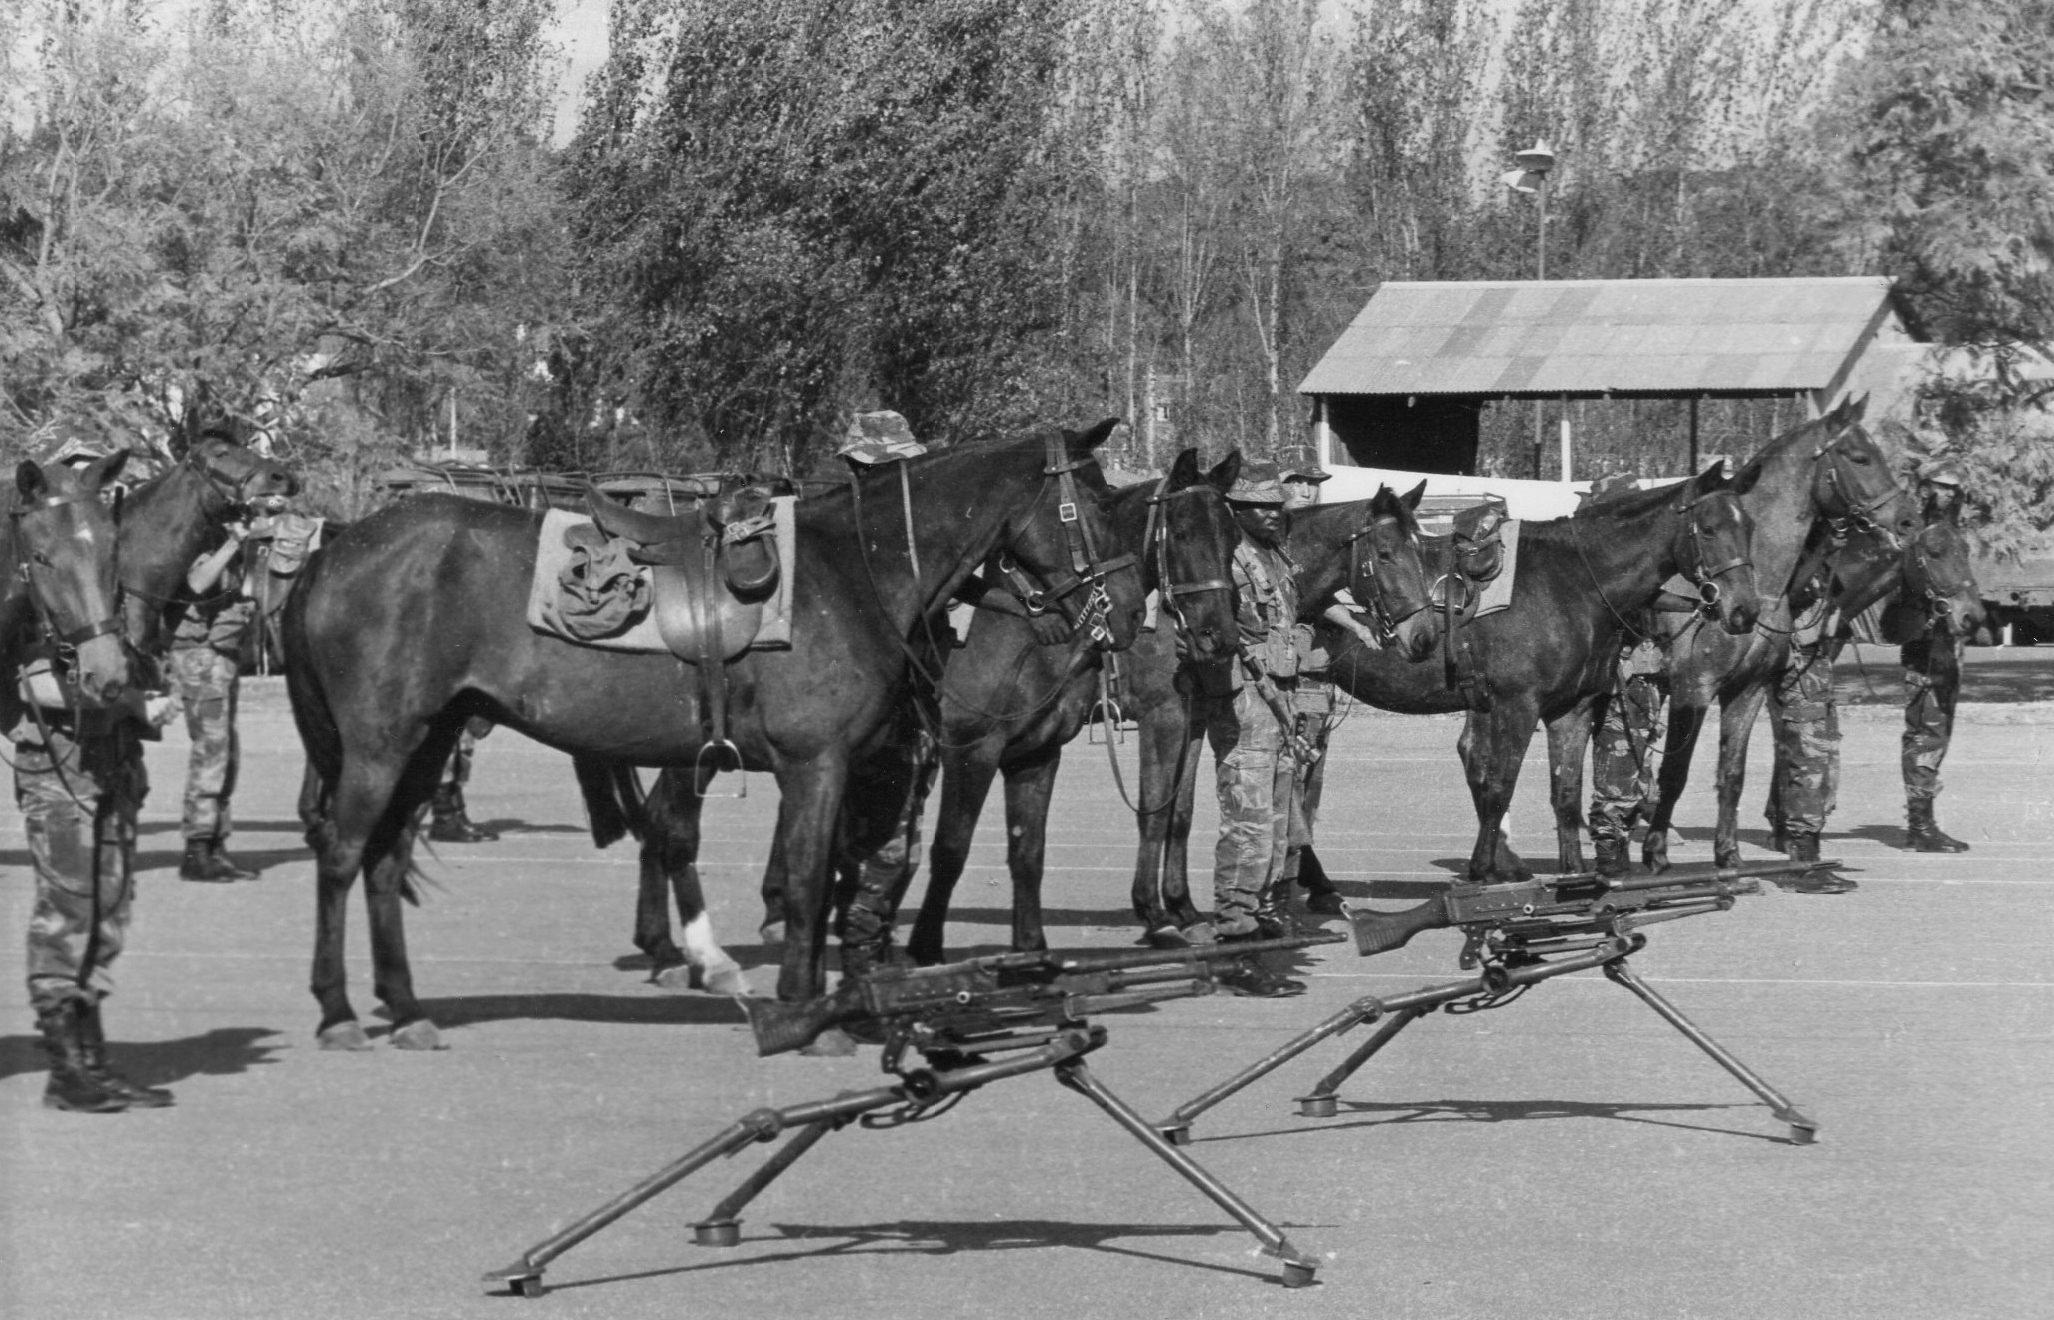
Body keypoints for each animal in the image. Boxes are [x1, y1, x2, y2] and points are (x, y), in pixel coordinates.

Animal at [285, 418, 1158, 1046]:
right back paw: (337, 1012)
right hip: (381, 746)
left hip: (429, 740)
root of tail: (337, 548)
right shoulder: (817, 763)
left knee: (385, 860)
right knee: (342, 855)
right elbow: (806, 879)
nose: (1127, 603)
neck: (857, 572)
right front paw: (804, 1009)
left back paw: (406, 1008)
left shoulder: (847, 768)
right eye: (1090, 504)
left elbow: (832, 876)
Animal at [1552, 408, 1922, 874]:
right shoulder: (1693, 689)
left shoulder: (1748, 690)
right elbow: (1675, 773)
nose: (1908, 519)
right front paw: (1656, 851)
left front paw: (1729, 854)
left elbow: (1733, 774)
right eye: (1859, 457)